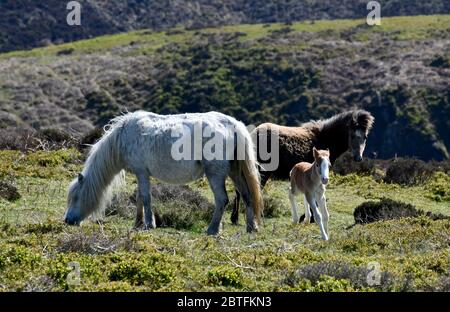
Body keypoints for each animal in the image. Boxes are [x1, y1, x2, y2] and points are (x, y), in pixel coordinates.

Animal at [64, 111, 262, 235]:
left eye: (76, 197)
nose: (67, 220)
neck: (123, 137)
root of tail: (234, 125)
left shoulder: (142, 172)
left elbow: (145, 197)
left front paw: (148, 224)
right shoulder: (140, 174)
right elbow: (139, 198)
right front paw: (137, 223)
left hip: (215, 174)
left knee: (222, 200)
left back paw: (212, 229)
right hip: (235, 172)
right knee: (247, 196)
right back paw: (251, 227)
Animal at [230, 109, 374, 224]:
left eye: (365, 137)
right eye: (352, 135)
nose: (358, 158)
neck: (325, 138)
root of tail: (251, 135)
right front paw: (310, 218)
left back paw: (235, 218)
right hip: (261, 171)